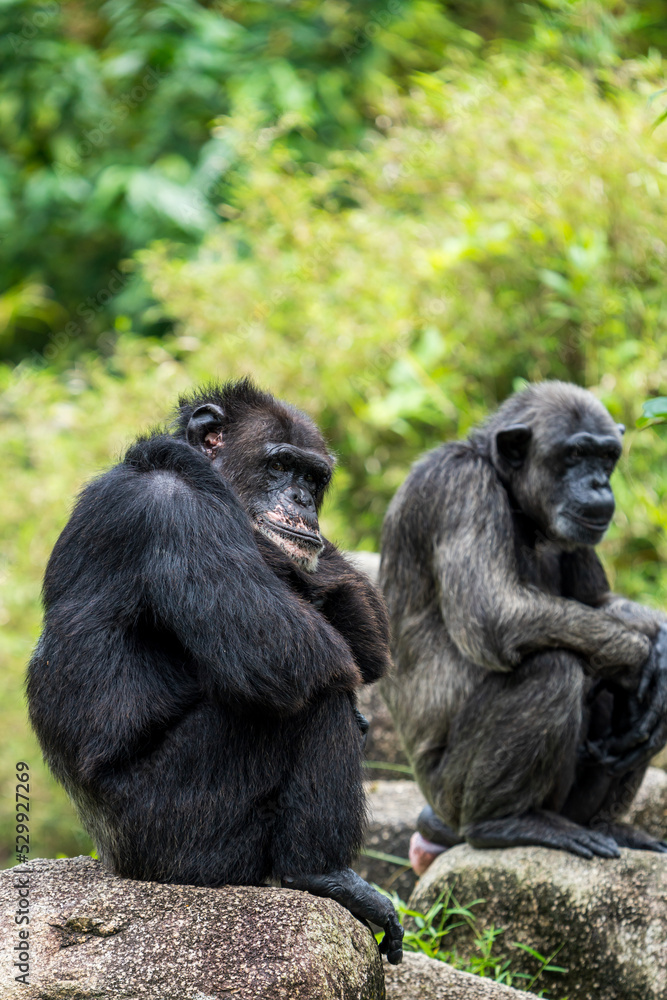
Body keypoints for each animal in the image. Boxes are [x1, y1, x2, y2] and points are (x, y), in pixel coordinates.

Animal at [28, 378, 404, 964]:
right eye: (280, 466)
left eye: (313, 478)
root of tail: (116, 862)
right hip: (184, 831)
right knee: (312, 696)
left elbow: (359, 635)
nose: (301, 501)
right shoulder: (176, 514)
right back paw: (323, 875)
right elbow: (283, 651)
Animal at [380, 382, 667, 868]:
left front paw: (660, 635)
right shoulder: (461, 487)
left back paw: (608, 825)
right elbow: (493, 612)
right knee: (553, 667)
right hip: (449, 794)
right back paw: (506, 822)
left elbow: (597, 602)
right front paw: (646, 656)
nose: (598, 482)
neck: (518, 504)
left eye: (607, 456)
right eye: (575, 454)